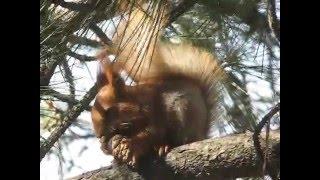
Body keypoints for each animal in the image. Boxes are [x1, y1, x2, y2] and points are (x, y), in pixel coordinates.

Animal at [91, 0, 224, 168]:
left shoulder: (154, 109)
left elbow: (152, 132)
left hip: (183, 110)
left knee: (178, 139)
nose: (99, 136)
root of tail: (201, 134)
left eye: (109, 111)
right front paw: (111, 149)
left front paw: (131, 146)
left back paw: (165, 145)